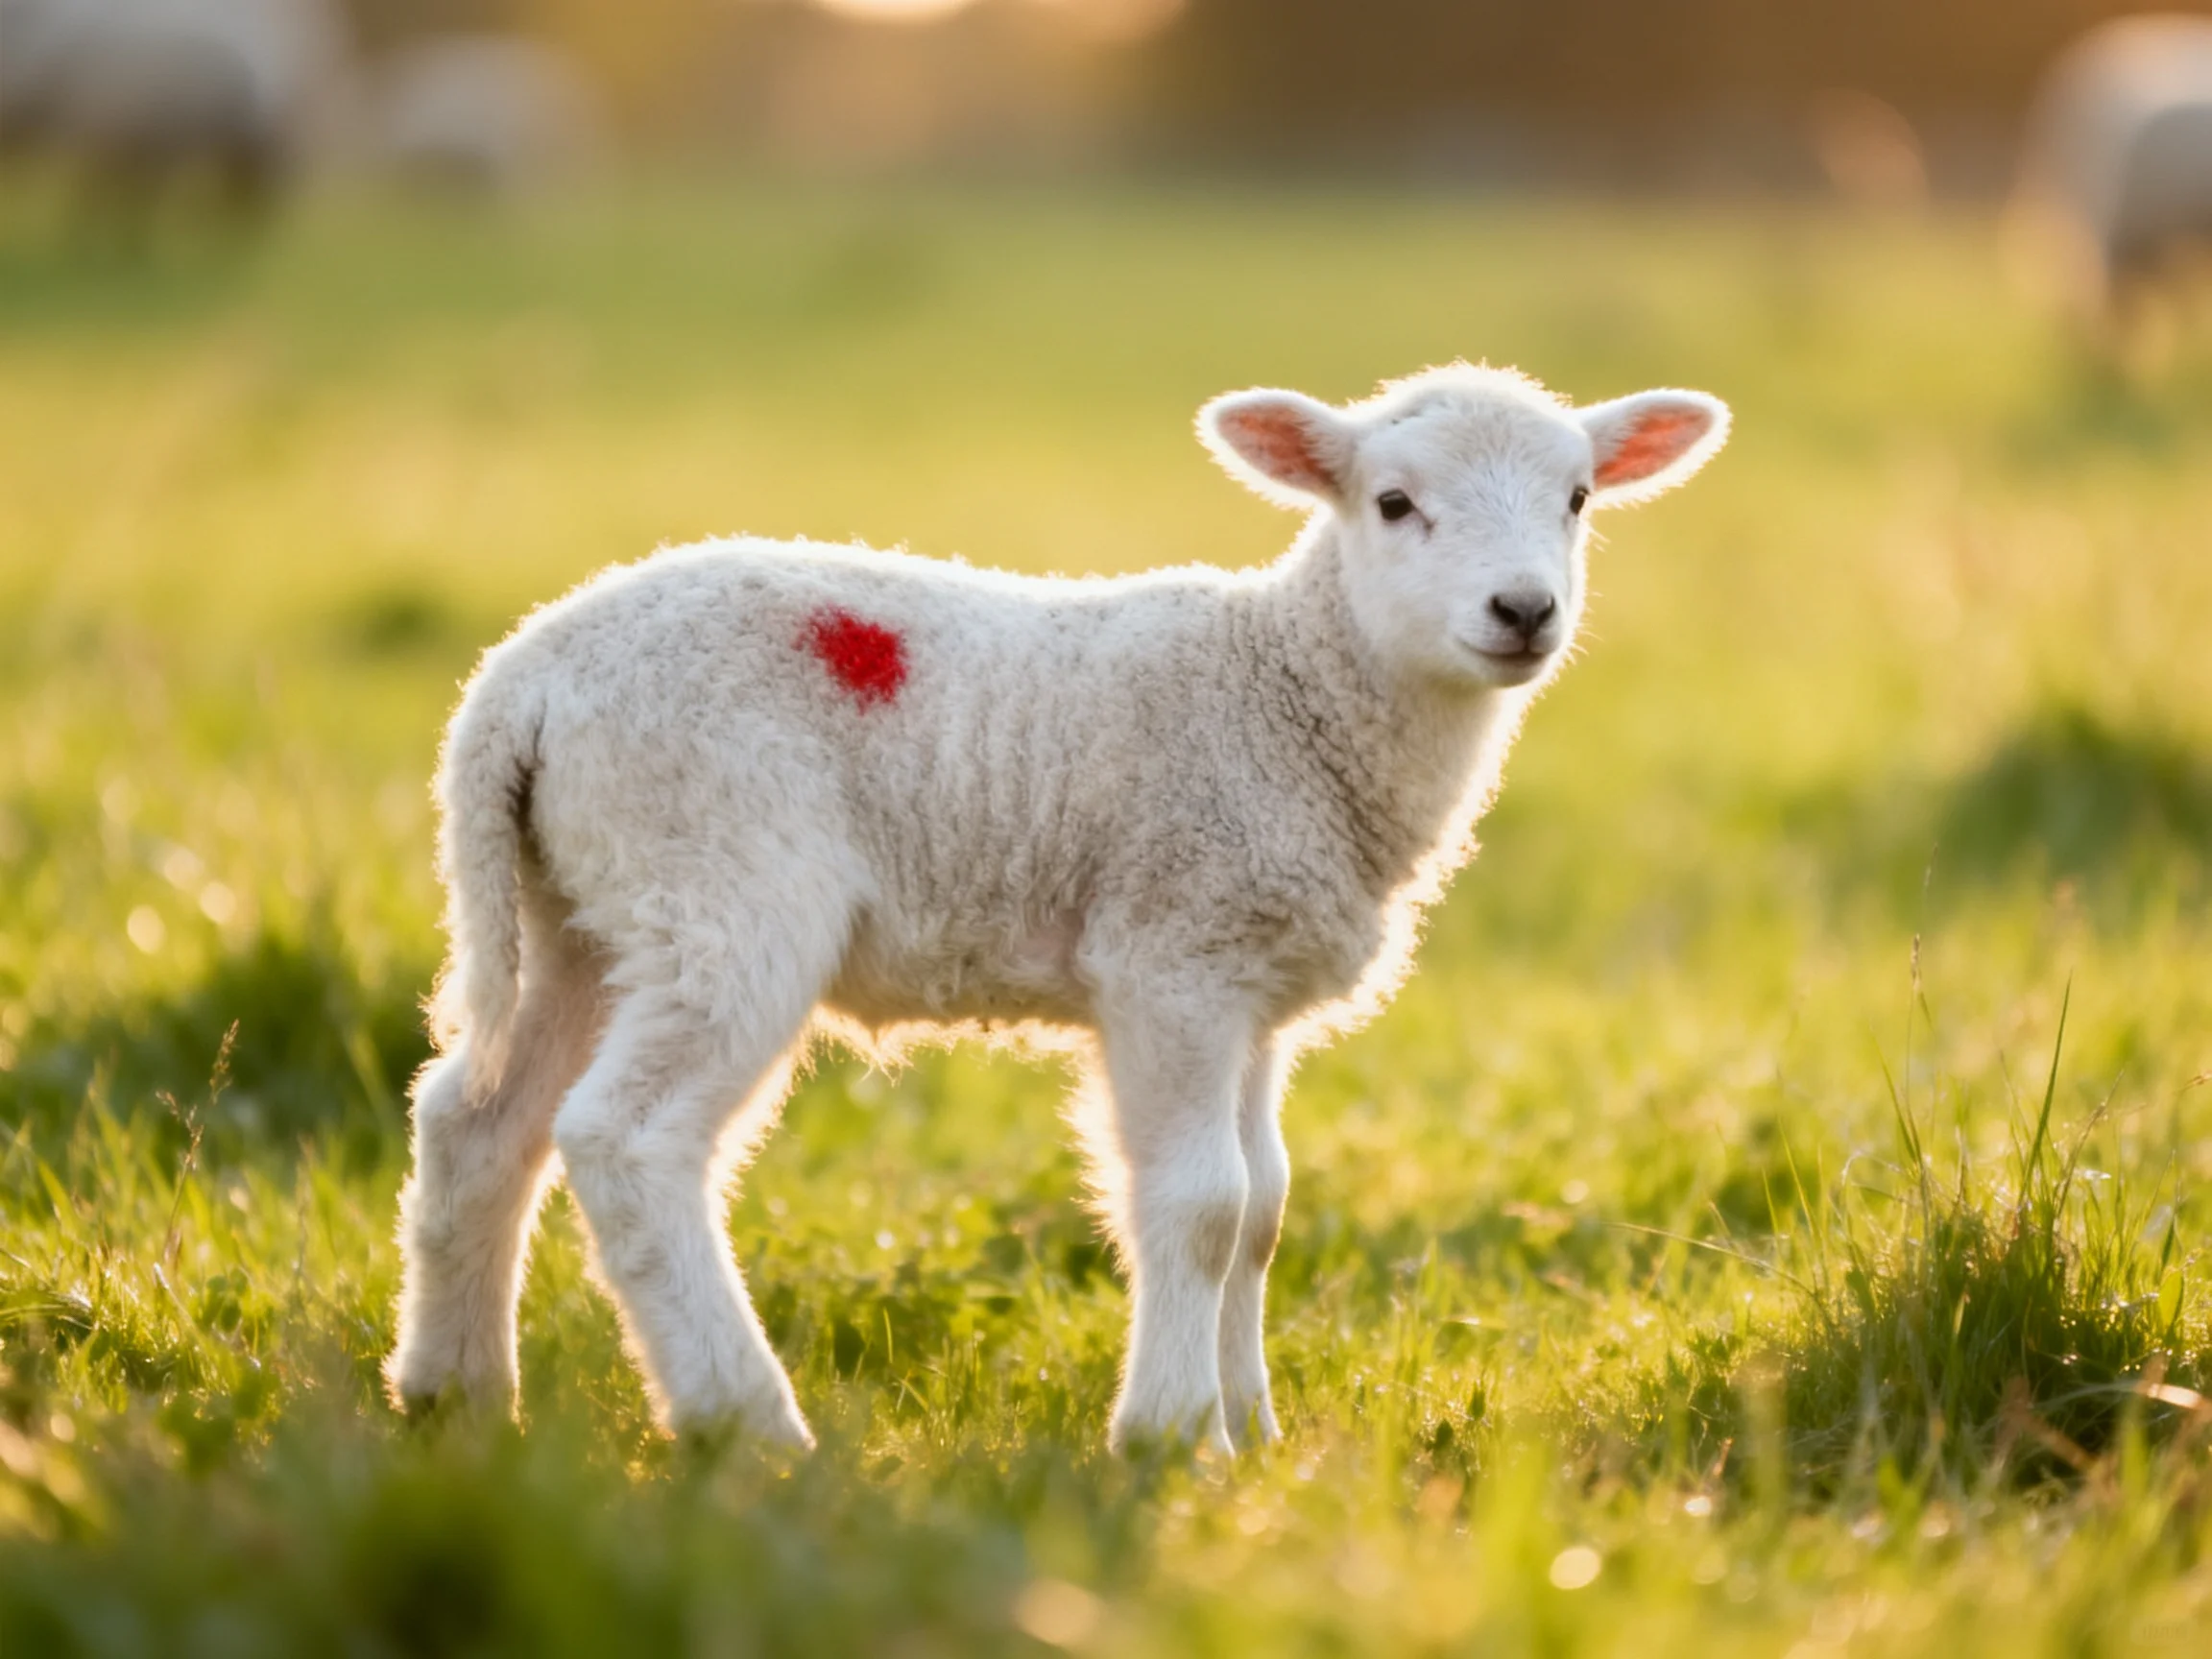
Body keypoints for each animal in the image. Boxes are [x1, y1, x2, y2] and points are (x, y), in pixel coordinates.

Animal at [384, 362, 1730, 1452]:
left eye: (1578, 500)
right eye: (1394, 503)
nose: (1524, 611)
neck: (1291, 690)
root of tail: (519, 683)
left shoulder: (1252, 985)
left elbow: (1265, 1206)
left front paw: (1258, 1433)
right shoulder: (1172, 953)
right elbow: (1200, 1205)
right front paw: (1173, 1436)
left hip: (582, 907)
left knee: (477, 1119)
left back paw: (456, 1398)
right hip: (722, 882)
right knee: (627, 1139)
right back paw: (748, 1421)